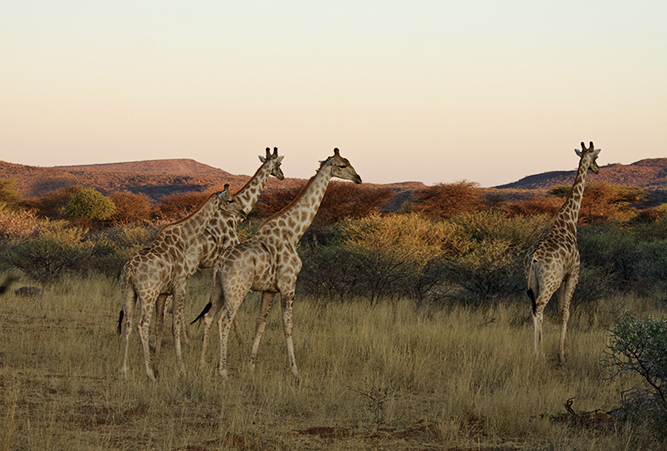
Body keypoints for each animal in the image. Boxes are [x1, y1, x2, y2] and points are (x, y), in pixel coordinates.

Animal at [119, 185, 245, 380]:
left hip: (128, 293)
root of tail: (130, 269)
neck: (184, 239)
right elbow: (174, 326)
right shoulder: (179, 286)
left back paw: (125, 370)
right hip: (147, 295)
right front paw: (181, 369)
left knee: (128, 324)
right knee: (142, 325)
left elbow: (160, 325)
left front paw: (158, 367)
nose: (242, 213)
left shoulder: (163, 293)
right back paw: (148, 373)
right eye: (230, 200)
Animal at [164, 148, 288, 342]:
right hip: (185, 270)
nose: (282, 176)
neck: (234, 218)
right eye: (279, 164)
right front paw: (239, 338)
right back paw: (180, 337)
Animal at [196, 147, 362, 378]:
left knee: (209, 317)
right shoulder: (288, 284)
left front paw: (251, 366)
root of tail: (220, 263)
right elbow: (288, 326)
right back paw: (223, 371)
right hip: (236, 290)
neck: (293, 231)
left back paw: (202, 364)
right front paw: (295, 370)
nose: (358, 178)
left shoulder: (269, 289)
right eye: (342, 165)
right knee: (224, 320)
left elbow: (260, 324)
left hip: (218, 289)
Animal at [524, 141, 604, 364]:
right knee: (539, 307)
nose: (597, 169)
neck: (569, 222)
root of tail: (533, 259)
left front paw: (565, 351)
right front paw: (562, 354)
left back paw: (539, 351)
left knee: (533, 309)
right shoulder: (573, 274)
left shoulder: (562, 278)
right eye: (596, 157)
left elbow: (560, 311)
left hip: (533, 281)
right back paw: (538, 354)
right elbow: (566, 312)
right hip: (548, 282)